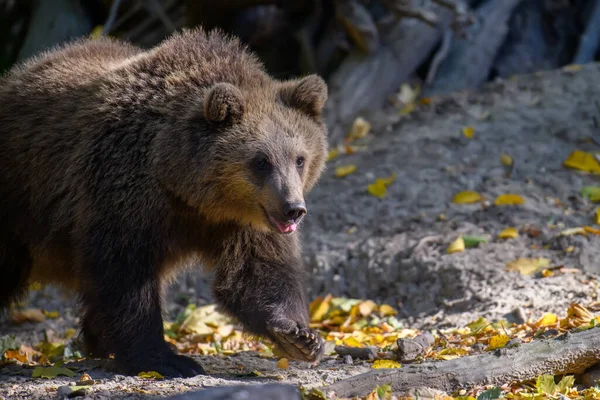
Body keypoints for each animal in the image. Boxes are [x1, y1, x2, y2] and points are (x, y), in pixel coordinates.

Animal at [0, 28, 328, 378]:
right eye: (261, 161)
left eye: (299, 159)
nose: (293, 209)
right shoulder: (124, 189)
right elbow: (125, 273)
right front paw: (167, 358)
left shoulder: (242, 220)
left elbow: (258, 272)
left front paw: (299, 335)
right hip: (19, 197)